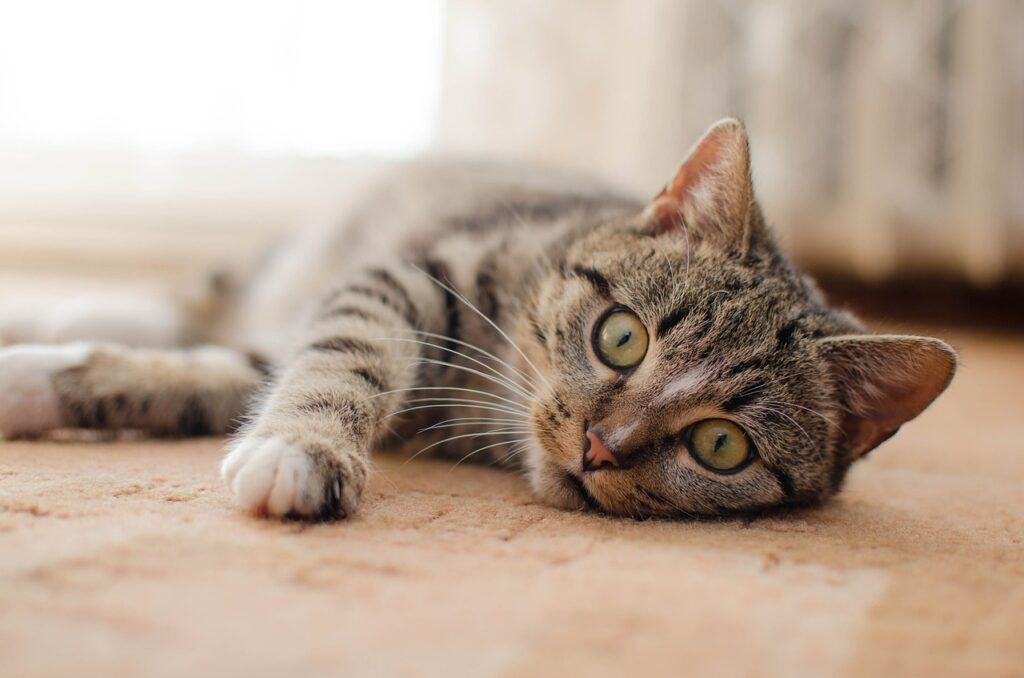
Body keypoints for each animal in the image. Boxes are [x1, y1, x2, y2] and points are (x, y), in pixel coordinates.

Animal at [0, 119, 954, 520]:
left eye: (722, 445)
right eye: (622, 335)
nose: (599, 447)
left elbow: (191, 379)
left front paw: (32, 383)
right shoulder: (408, 275)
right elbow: (347, 352)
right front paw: (307, 450)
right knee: (202, 292)